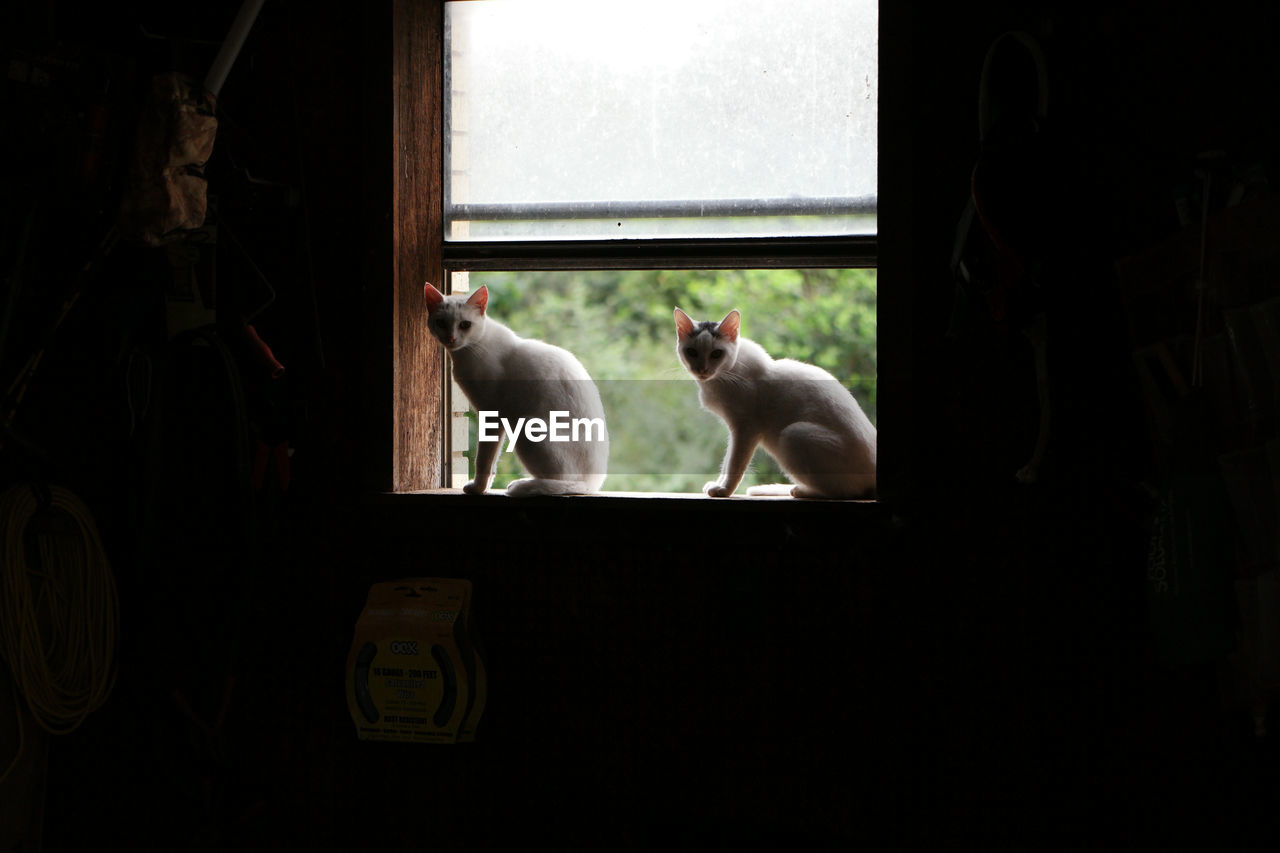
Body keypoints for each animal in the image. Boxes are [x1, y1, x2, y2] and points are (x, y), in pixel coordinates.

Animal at [424, 281, 609, 494]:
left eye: (464, 325)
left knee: (564, 482)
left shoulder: (491, 417)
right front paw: (485, 488)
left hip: (527, 428)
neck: (468, 351)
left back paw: (524, 485)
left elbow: (483, 461)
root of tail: (593, 484)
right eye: (441, 323)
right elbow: (492, 465)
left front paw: (478, 488)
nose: (451, 338)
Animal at [675, 303, 875, 499]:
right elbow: (726, 462)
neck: (727, 374)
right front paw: (719, 484)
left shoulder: (745, 429)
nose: (702, 369)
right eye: (691, 352)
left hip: (793, 434)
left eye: (716, 354)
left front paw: (724, 490)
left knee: (845, 491)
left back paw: (800, 491)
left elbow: (734, 463)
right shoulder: (736, 431)